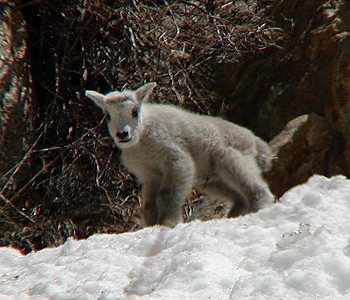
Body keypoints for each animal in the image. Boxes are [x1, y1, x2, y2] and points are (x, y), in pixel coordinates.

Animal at [86, 82, 274, 227]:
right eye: (108, 115)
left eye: (134, 111)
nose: (122, 134)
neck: (141, 140)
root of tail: (257, 143)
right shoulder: (150, 174)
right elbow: (148, 205)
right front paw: (152, 225)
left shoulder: (175, 160)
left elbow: (166, 195)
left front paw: (168, 223)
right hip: (209, 179)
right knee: (239, 197)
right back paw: (235, 215)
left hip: (231, 159)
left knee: (256, 187)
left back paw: (259, 208)